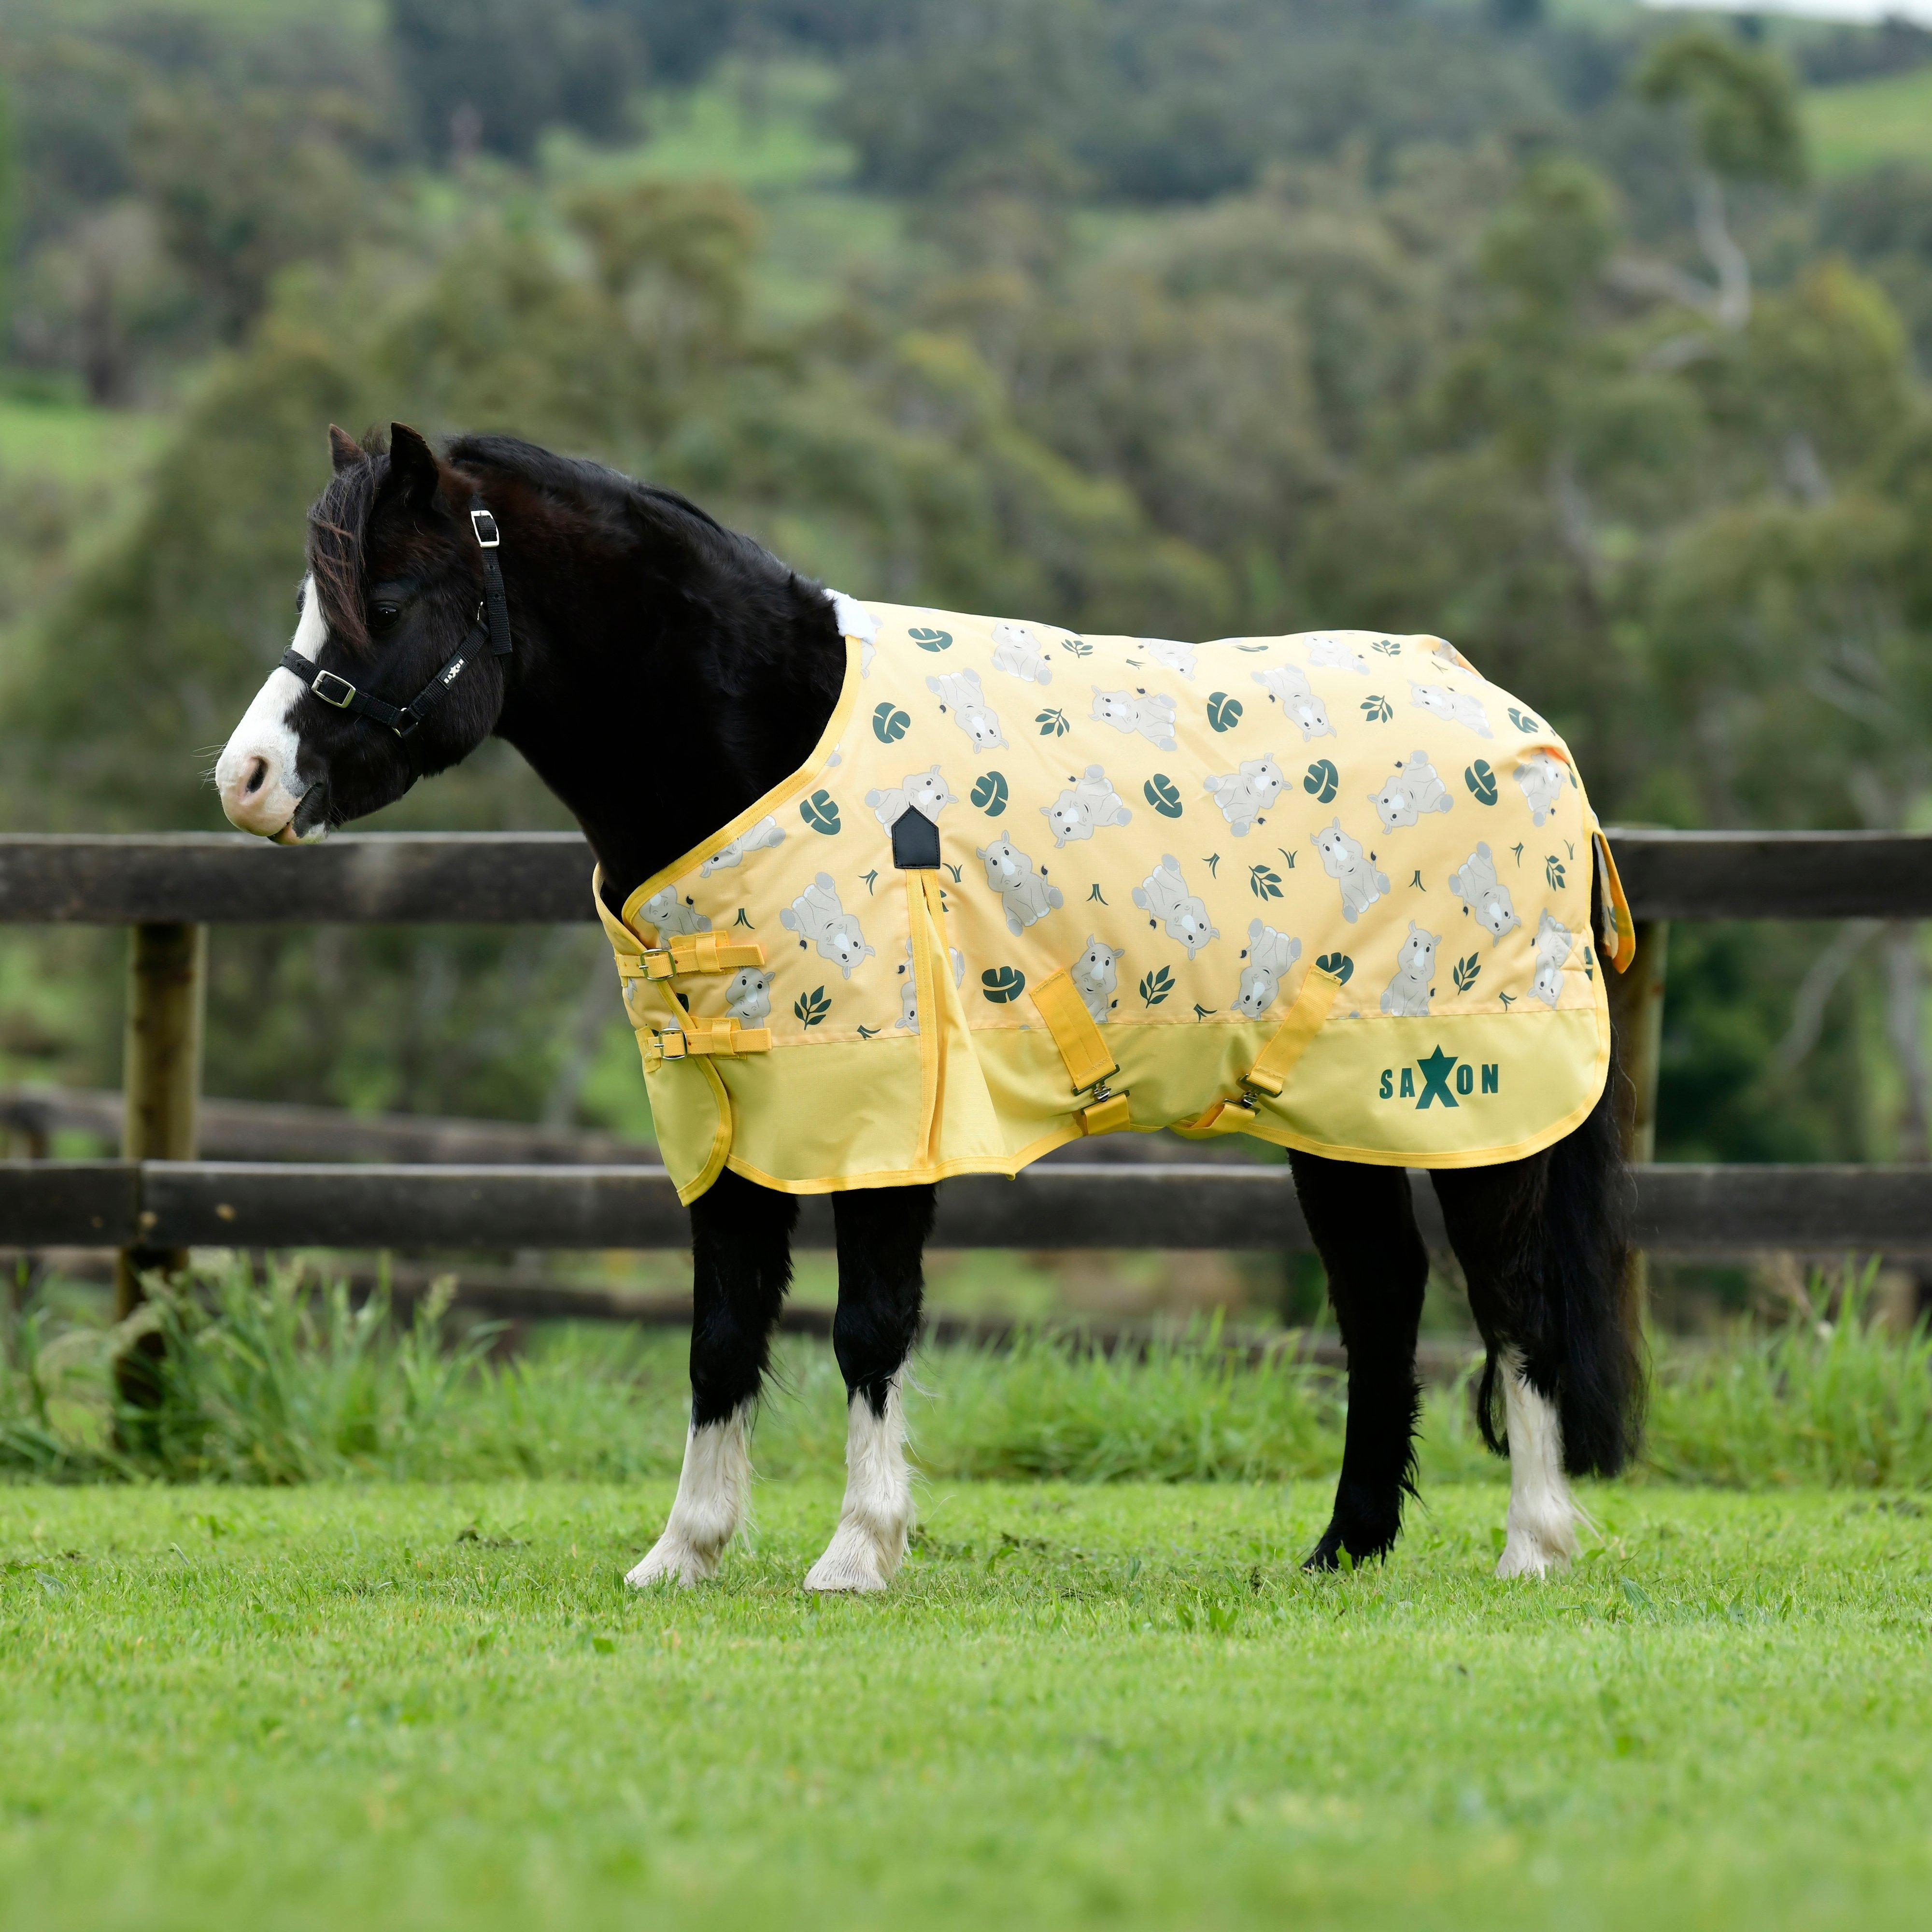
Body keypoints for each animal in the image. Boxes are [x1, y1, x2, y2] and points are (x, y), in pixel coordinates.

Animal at [215, 424, 1643, 1591]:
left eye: (384, 598)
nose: (247, 778)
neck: (766, 741)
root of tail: (1524, 730)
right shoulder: (723, 1117)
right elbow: (721, 1331)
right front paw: (683, 1551)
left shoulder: (887, 1113)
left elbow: (868, 1325)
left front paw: (857, 1551)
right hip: (1330, 1107)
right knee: (1382, 1296)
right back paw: (1347, 1547)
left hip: (1472, 1103)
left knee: (1512, 1299)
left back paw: (1532, 1547)